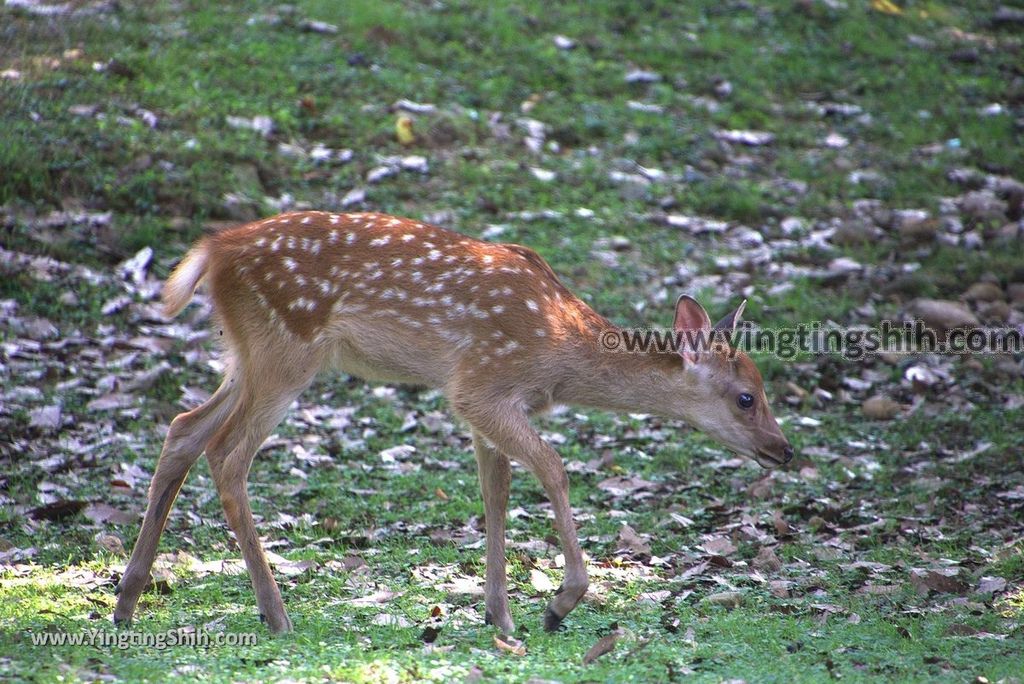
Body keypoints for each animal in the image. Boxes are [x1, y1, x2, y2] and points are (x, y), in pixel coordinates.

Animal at [112, 209, 790, 634]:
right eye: (746, 397)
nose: (783, 450)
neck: (563, 350)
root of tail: (214, 252)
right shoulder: (479, 386)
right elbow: (553, 468)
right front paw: (559, 604)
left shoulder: (490, 405)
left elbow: (496, 492)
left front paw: (501, 616)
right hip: (286, 352)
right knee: (228, 456)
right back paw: (276, 615)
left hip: (247, 356)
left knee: (183, 428)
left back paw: (126, 601)